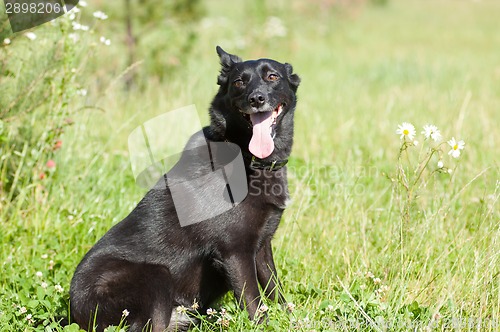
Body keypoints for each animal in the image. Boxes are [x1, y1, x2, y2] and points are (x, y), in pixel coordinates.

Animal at [70, 45, 300, 330]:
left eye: (272, 77)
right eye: (239, 82)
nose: (256, 98)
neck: (247, 157)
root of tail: (75, 311)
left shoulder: (261, 246)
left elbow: (275, 289)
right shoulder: (235, 251)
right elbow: (253, 302)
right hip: (156, 276)